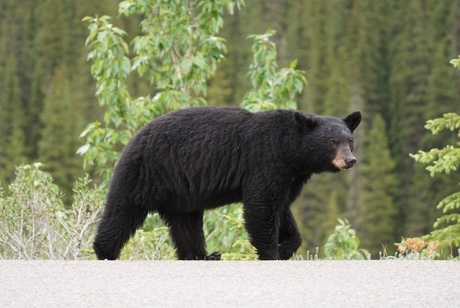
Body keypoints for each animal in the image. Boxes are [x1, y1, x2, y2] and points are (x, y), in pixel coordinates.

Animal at [92, 106, 360, 260]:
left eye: (350, 140)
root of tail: (135, 138)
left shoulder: (291, 176)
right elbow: (262, 206)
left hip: (180, 196)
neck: (289, 150)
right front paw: (271, 253)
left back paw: (203, 256)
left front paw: (286, 246)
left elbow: (281, 207)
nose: (350, 160)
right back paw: (104, 251)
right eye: (332, 141)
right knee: (122, 211)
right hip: (144, 173)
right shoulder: (265, 160)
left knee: (185, 225)